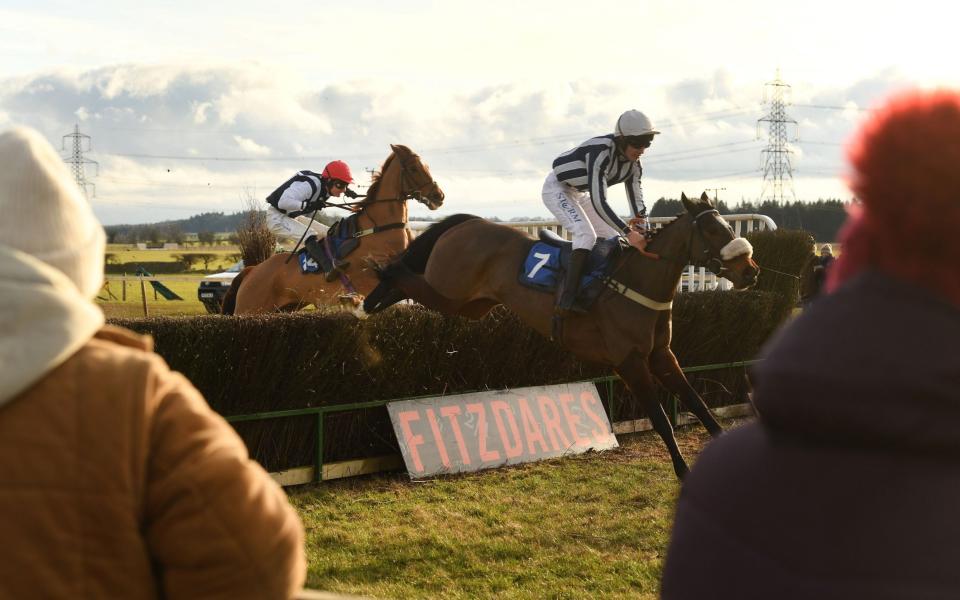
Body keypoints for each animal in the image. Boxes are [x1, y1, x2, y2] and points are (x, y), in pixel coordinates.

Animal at [223, 145, 444, 314]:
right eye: (414, 169)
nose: (438, 196)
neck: (380, 226)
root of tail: (252, 271)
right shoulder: (370, 276)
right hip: (251, 307)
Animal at [364, 192, 760, 478]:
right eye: (713, 231)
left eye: (728, 227)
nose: (751, 270)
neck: (636, 281)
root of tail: (470, 223)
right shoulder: (629, 362)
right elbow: (662, 419)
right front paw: (682, 471)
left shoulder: (662, 355)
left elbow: (698, 404)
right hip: (448, 291)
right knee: (406, 276)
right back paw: (377, 285)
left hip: (470, 304)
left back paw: (374, 297)